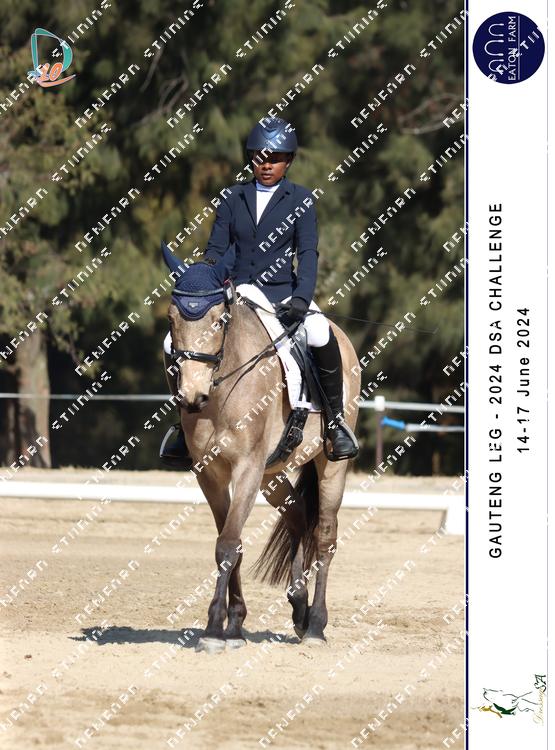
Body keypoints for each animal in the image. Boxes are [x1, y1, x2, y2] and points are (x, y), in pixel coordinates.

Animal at [162, 243, 361, 653]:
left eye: (220, 319)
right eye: (172, 318)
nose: (191, 396)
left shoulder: (247, 468)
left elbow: (227, 544)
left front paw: (213, 630)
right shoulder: (211, 473)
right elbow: (230, 543)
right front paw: (234, 625)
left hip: (329, 463)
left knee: (326, 535)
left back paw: (316, 625)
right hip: (272, 473)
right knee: (298, 515)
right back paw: (299, 608)